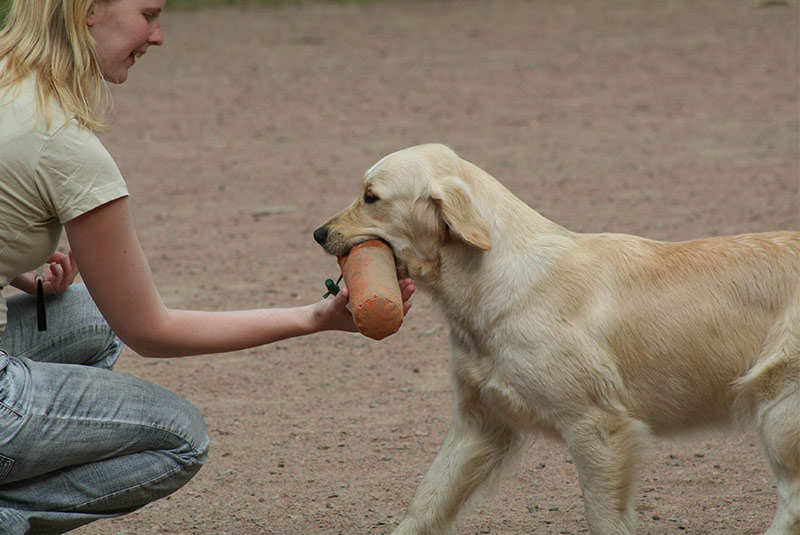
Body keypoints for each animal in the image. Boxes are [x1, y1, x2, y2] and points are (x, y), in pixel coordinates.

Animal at [312, 143, 800, 535]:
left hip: (781, 413)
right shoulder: (480, 423)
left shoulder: (598, 427)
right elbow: (426, 503)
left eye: (371, 197)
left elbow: (604, 520)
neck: (493, 279)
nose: (318, 233)